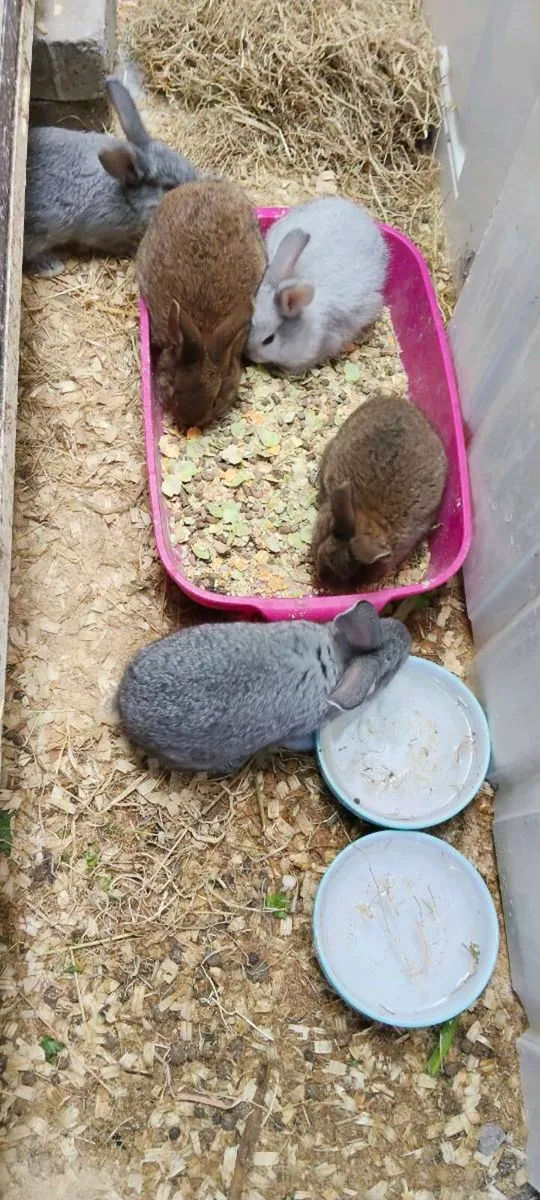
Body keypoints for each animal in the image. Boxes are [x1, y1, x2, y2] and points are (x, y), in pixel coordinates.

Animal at [24, 76, 200, 277]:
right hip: (40, 232)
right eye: (169, 186)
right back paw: (51, 266)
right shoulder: (102, 232)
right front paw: (132, 247)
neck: (126, 197)